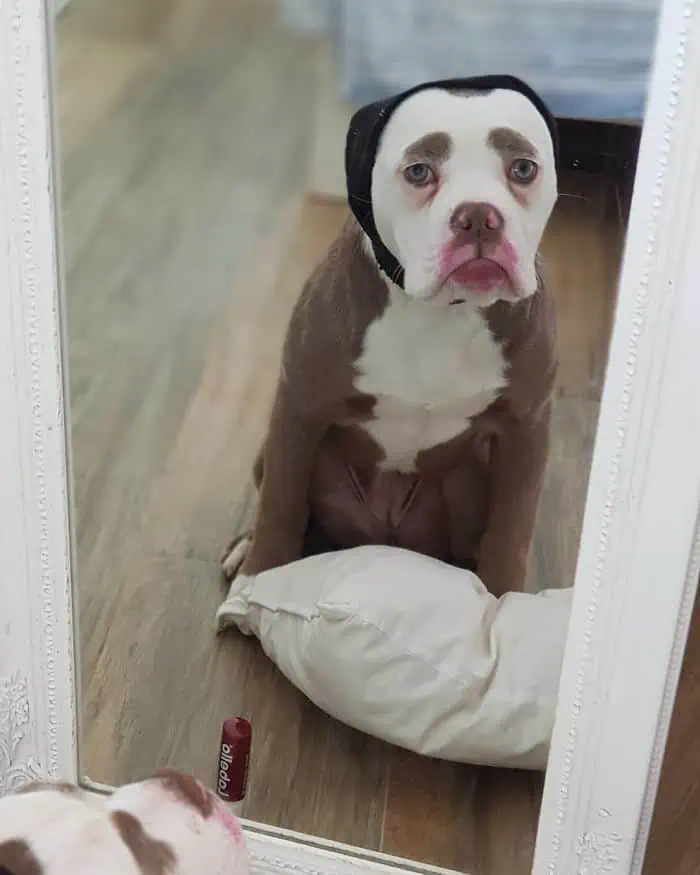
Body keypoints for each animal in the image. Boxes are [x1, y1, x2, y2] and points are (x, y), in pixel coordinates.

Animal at [219, 75, 558, 616]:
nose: (478, 217)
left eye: (523, 168)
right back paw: (244, 547)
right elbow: (281, 503)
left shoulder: (527, 429)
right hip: (270, 449)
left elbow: (511, 532)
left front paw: (506, 608)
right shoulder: (299, 408)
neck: (441, 312)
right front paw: (255, 583)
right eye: (419, 172)